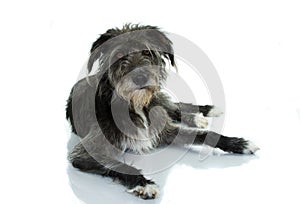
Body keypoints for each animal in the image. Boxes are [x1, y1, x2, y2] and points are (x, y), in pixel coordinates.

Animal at [67, 23, 258, 199]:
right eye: (119, 55)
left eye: (146, 52)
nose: (140, 78)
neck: (136, 106)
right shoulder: (87, 151)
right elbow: (119, 165)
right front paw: (143, 183)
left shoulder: (164, 130)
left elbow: (204, 134)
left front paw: (238, 143)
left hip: (159, 102)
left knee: (174, 107)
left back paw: (203, 113)